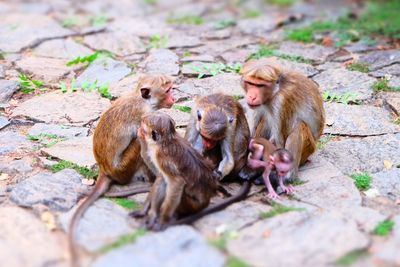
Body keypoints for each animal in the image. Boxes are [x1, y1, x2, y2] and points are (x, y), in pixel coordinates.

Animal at [69, 73, 175, 266]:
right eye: (167, 90)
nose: (174, 98)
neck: (142, 100)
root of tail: (104, 170)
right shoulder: (145, 118)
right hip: (123, 168)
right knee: (137, 143)